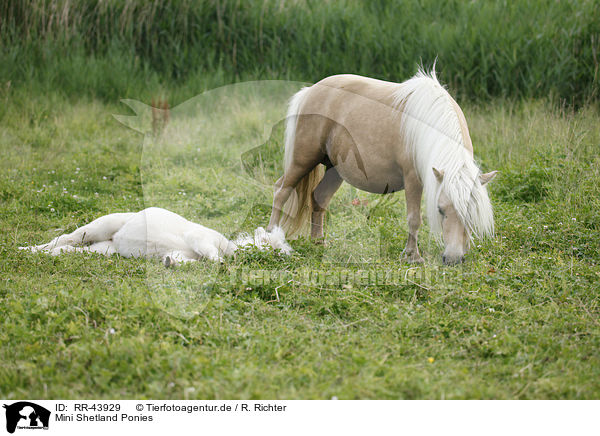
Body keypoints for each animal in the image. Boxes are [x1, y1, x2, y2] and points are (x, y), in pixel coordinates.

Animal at [268, 70, 496, 264]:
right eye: (440, 210)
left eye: (472, 213)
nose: (453, 259)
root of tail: (309, 92)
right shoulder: (413, 180)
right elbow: (414, 219)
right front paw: (413, 256)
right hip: (302, 160)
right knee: (281, 191)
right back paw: (271, 239)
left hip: (334, 170)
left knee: (319, 198)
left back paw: (318, 243)